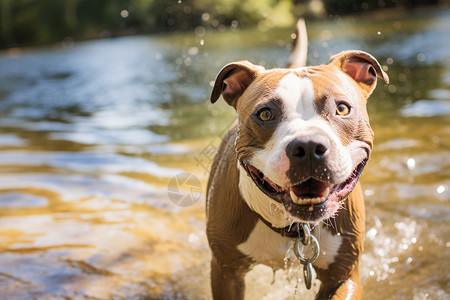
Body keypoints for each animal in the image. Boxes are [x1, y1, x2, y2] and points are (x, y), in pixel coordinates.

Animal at [206, 19, 388, 298]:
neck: (296, 228)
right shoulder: (226, 271)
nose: (309, 146)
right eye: (265, 114)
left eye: (342, 108)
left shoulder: (344, 275)